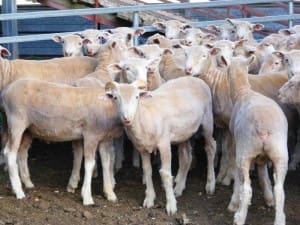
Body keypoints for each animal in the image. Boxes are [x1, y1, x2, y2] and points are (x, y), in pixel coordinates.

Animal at [103, 77, 216, 214]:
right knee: (186, 158)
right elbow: (147, 171)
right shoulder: (142, 148)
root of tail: (195, 78)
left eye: (137, 97)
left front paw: (171, 205)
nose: (127, 118)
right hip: (184, 132)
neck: (144, 116)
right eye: (115, 97)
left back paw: (210, 184)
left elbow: (165, 173)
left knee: (210, 147)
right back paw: (179, 187)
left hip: (207, 119)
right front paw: (149, 199)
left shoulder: (164, 144)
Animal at [227, 55, 288, 225]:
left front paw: (233, 203)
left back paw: (239, 217)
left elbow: (236, 175)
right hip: (280, 152)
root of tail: (263, 126)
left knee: (246, 188)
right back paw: (279, 219)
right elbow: (262, 171)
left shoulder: (235, 144)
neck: (243, 92)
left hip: (245, 151)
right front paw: (268, 198)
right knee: (279, 189)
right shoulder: (262, 157)